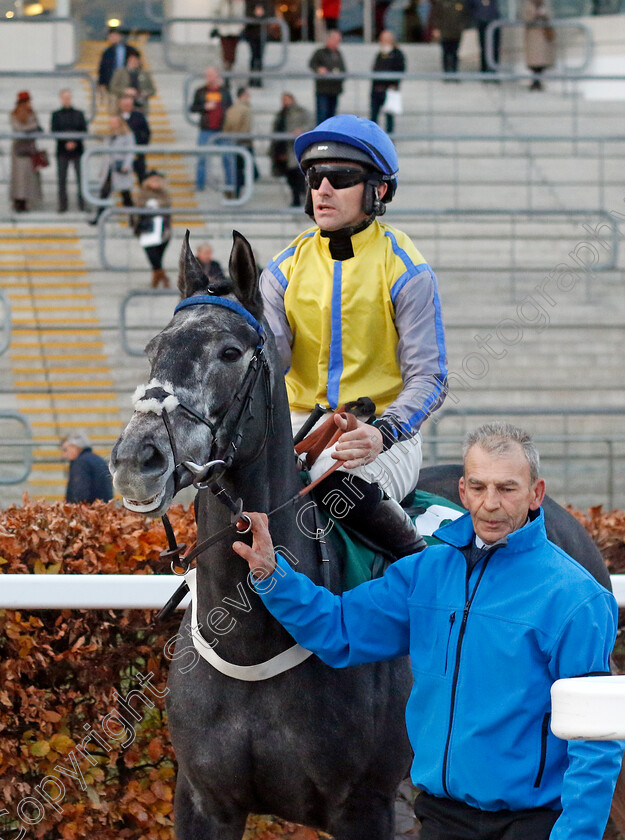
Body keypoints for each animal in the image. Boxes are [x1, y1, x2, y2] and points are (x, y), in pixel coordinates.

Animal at [111, 231, 414, 840]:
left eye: (229, 353)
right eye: (153, 347)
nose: (136, 459)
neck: (249, 641)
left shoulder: (366, 807)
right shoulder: (203, 800)